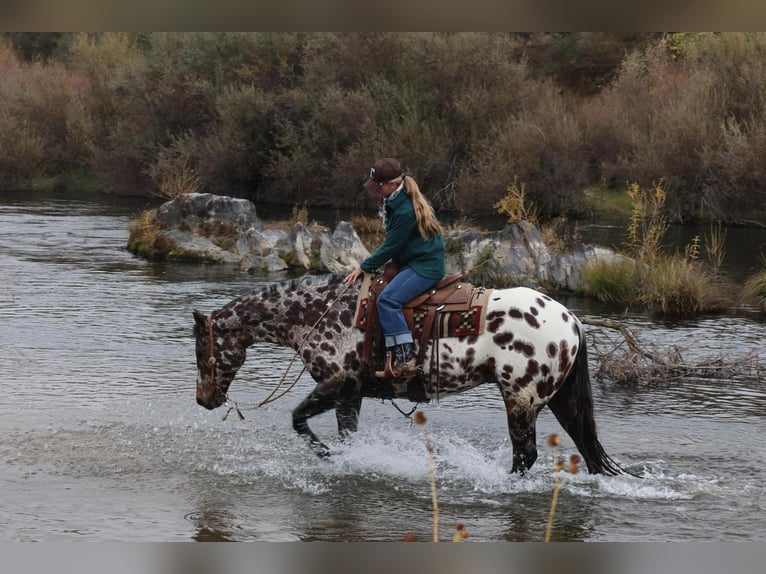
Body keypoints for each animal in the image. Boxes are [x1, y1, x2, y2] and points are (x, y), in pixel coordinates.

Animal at [192, 274, 632, 476]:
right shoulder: (350, 396)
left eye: (201, 349)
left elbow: (298, 419)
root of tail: (571, 319)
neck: (317, 313)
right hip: (558, 398)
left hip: (521, 399)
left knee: (525, 455)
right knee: (585, 447)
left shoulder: (339, 383)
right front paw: (345, 458)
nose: (203, 399)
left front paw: (326, 454)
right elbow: (346, 435)